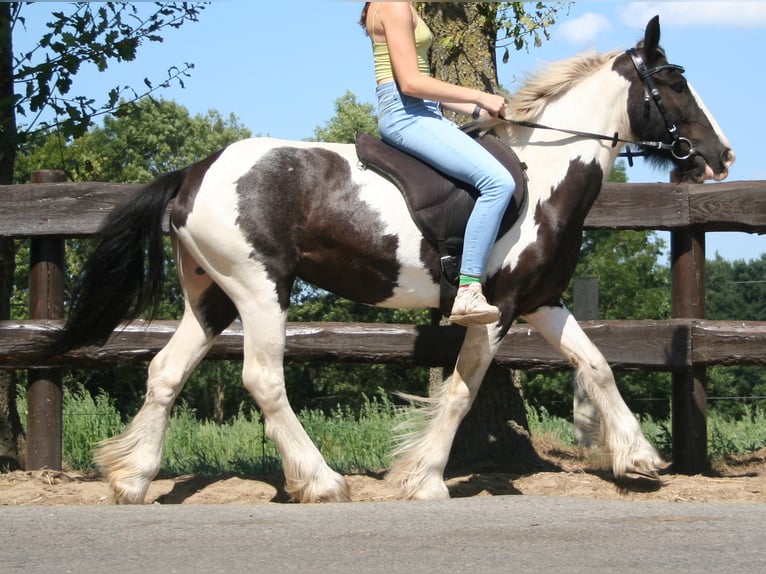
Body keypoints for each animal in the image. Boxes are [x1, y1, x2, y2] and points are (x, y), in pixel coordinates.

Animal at [45, 16, 736, 504]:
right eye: (675, 83)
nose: (722, 156)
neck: (545, 175)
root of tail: (195, 171)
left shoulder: (542, 301)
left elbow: (597, 366)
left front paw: (639, 459)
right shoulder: (499, 308)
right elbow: (461, 391)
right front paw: (423, 478)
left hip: (211, 296)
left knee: (165, 371)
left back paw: (132, 479)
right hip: (260, 288)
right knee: (264, 380)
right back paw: (320, 481)